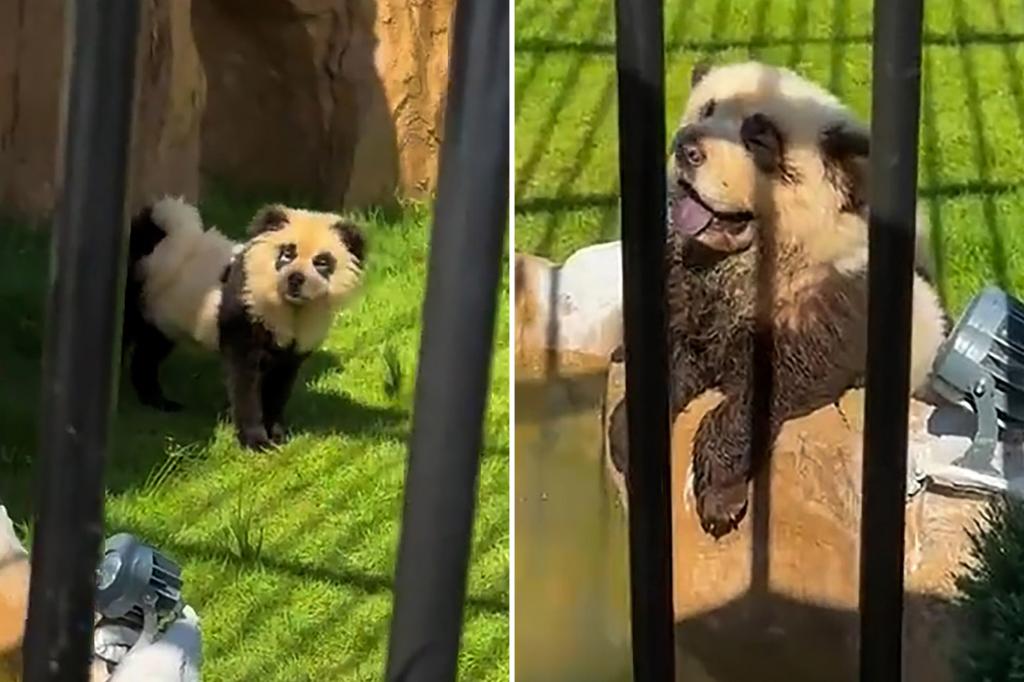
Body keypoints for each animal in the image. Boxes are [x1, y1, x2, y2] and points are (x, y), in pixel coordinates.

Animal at [122, 197, 366, 451]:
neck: (289, 308)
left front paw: (277, 435)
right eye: (287, 254)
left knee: (148, 354)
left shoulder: (292, 349)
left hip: (164, 316)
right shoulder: (244, 317)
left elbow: (279, 386)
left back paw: (158, 401)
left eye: (322, 262)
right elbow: (245, 383)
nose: (295, 279)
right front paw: (255, 442)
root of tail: (153, 235)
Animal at [608, 61, 948, 538]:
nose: (686, 148)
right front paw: (629, 437)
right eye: (706, 109)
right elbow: (666, 349)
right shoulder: (687, 291)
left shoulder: (833, 302)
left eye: (759, 139)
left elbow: (772, 385)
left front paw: (720, 498)